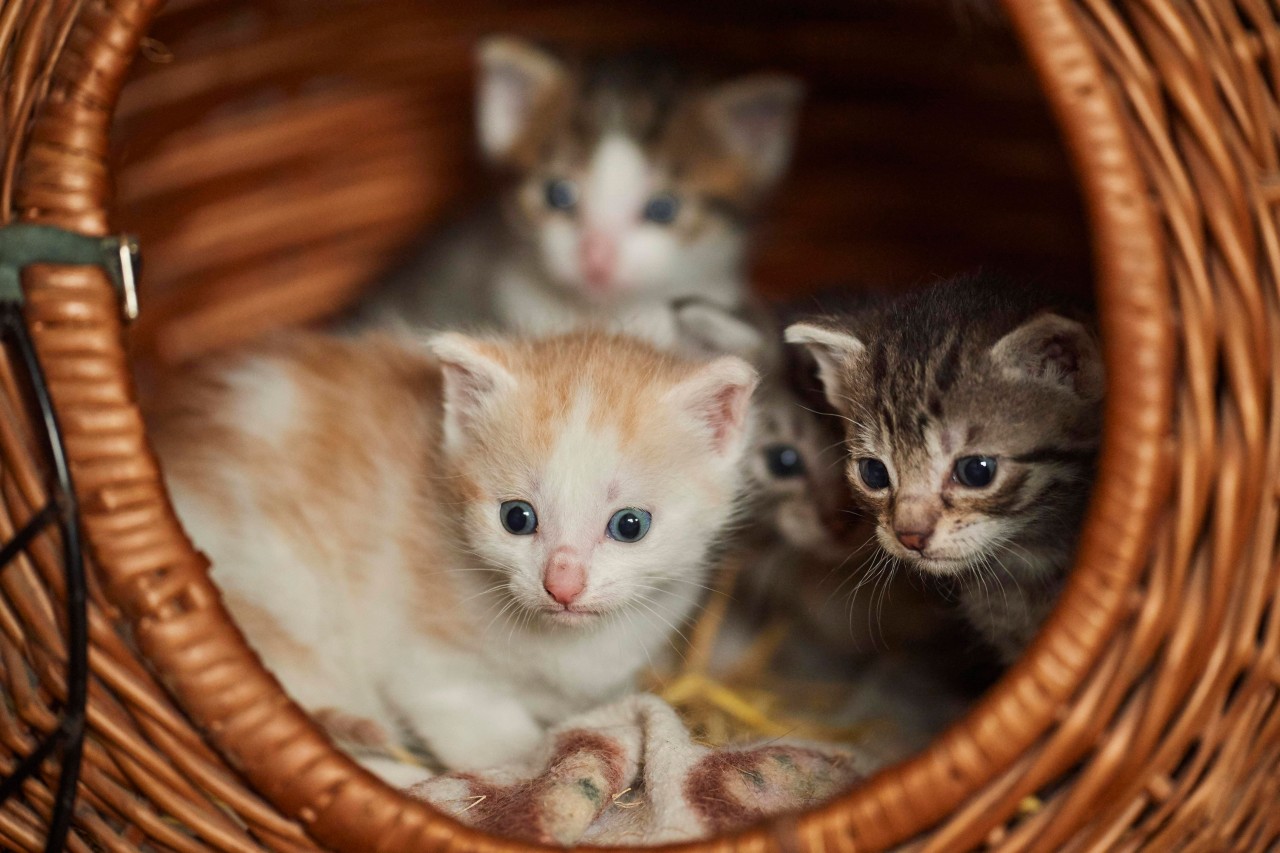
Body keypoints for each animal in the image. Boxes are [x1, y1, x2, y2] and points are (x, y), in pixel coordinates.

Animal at [147, 326, 757, 778]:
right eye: (517, 518)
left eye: (631, 525)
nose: (562, 584)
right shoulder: (428, 671)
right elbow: (489, 736)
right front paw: (529, 765)